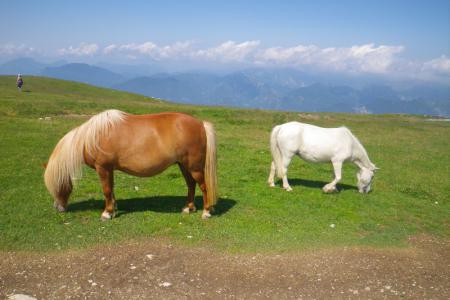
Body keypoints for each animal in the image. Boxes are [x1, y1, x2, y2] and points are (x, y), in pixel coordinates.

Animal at [43, 110, 218, 220]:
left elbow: (106, 190)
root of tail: (200, 124)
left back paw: (206, 212)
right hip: (183, 165)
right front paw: (113, 210)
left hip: (194, 167)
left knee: (203, 186)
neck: (93, 137)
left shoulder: (103, 168)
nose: (58, 208)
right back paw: (189, 208)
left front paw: (106, 213)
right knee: (191, 185)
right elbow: (111, 190)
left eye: (57, 184)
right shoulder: (109, 169)